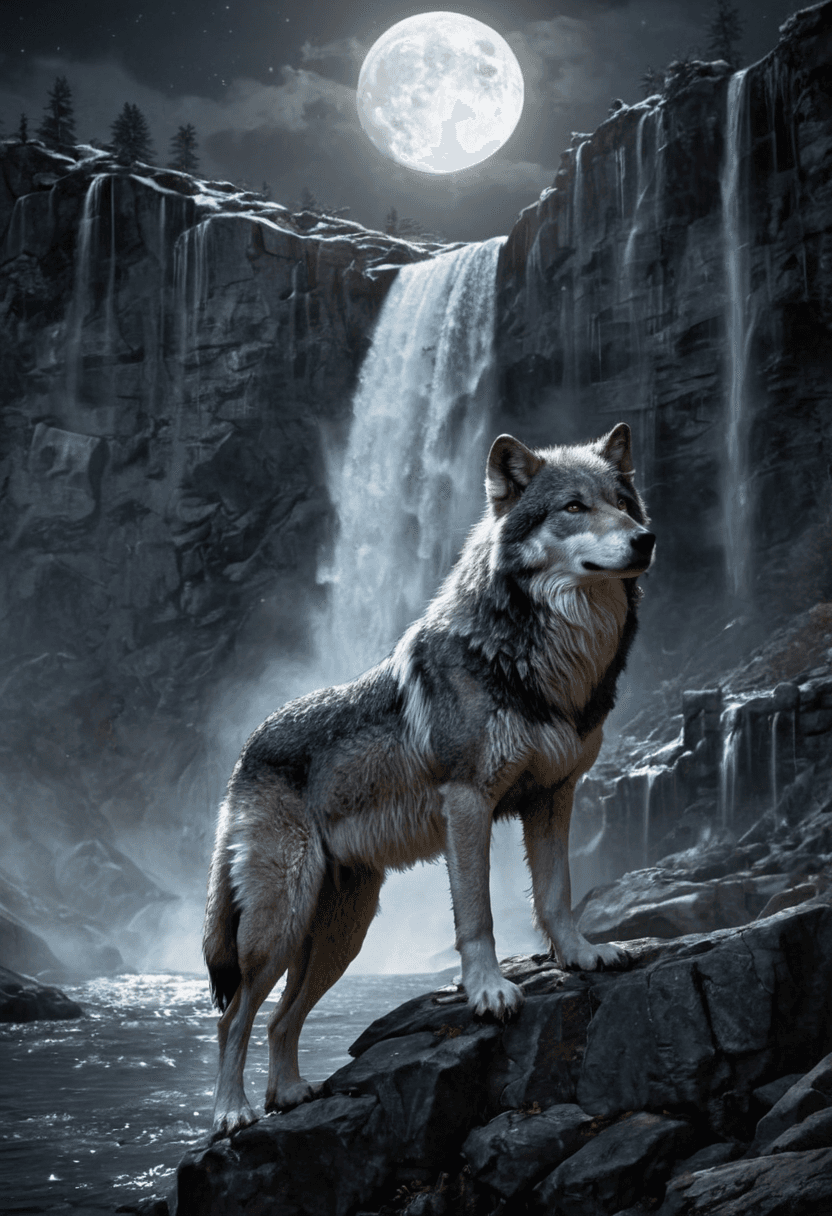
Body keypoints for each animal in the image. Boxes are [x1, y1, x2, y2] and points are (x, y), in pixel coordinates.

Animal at [203, 423, 654, 1136]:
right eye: (573, 507)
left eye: (622, 503)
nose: (646, 538)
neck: (541, 660)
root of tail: (246, 751)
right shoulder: (468, 803)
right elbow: (478, 914)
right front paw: (490, 991)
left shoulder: (554, 797)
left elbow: (556, 895)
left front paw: (583, 955)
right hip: (278, 925)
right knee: (233, 1019)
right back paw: (231, 1113)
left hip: (340, 934)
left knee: (280, 1020)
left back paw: (291, 1094)